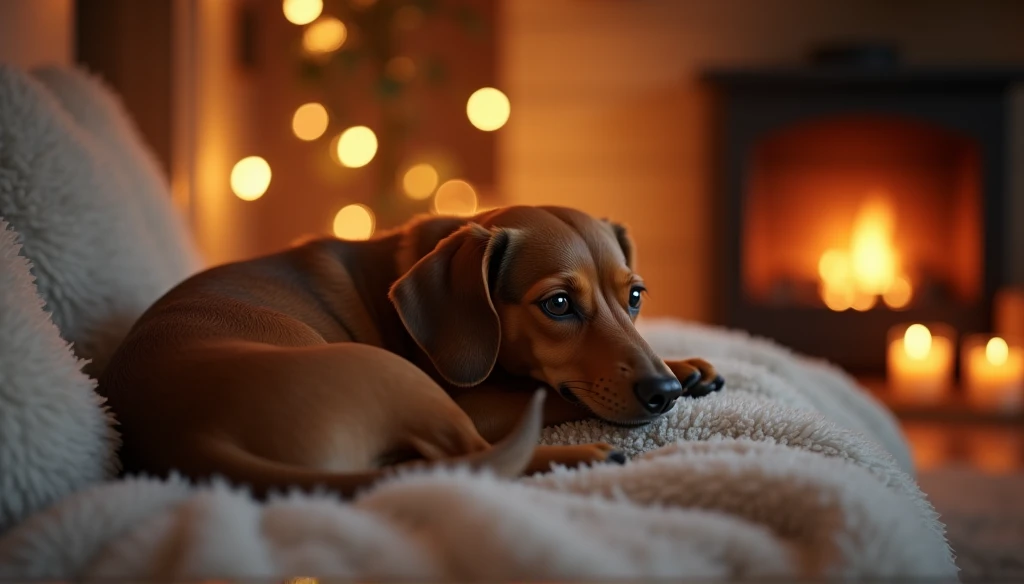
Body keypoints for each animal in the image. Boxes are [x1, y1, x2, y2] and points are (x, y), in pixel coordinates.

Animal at [96, 203, 720, 495]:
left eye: (635, 296)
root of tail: (190, 437)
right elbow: (549, 391)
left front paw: (687, 366)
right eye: (559, 304)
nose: (663, 391)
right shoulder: (477, 400)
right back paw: (584, 455)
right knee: (466, 458)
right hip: (399, 379)